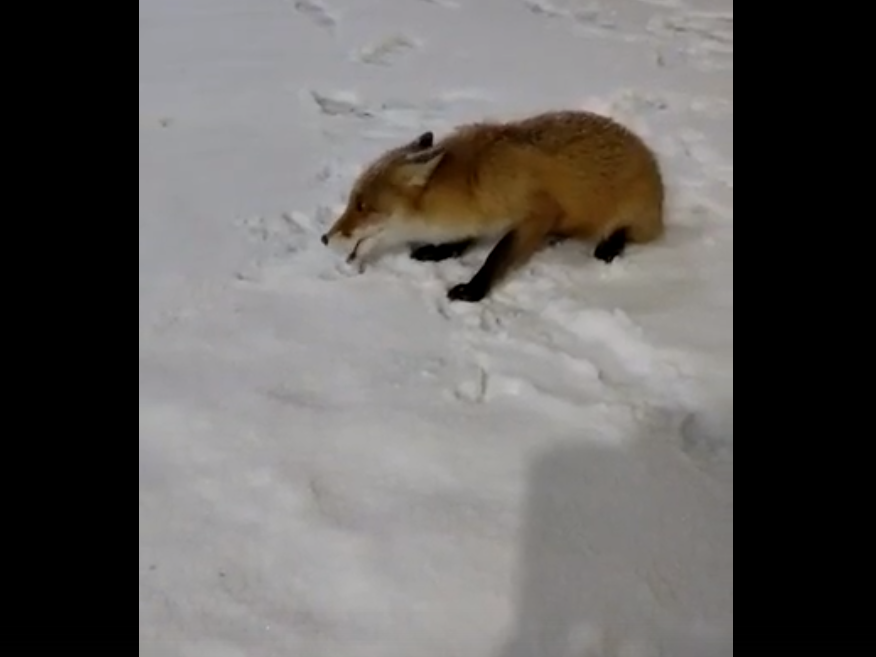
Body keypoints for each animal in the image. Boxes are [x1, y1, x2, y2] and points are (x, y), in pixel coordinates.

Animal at [321, 110, 666, 303]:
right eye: (352, 201)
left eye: (363, 206)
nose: (324, 238)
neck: (472, 182)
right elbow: (466, 238)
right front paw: (442, 250)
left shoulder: (538, 211)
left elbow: (496, 256)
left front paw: (474, 291)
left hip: (631, 214)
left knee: (626, 232)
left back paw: (609, 245)